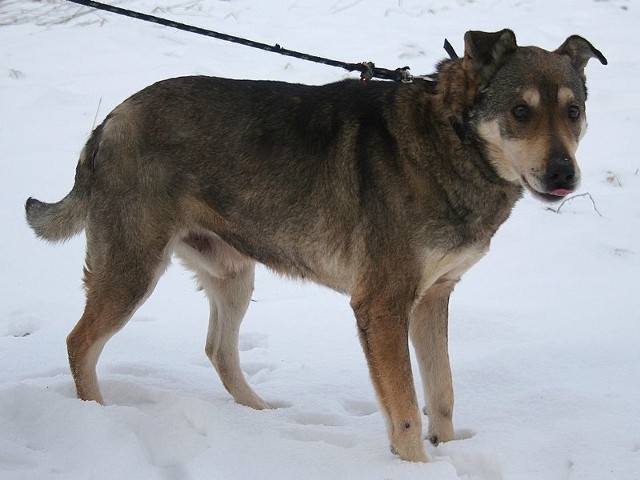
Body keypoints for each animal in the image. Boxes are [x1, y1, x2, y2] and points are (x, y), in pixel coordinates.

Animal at [25, 29, 604, 462]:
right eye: (521, 112)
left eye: (573, 112)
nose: (564, 175)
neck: (450, 139)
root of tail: (108, 123)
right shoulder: (382, 306)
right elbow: (405, 411)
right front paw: (419, 464)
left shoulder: (434, 296)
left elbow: (441, 393)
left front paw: (446, 451)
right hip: (133, 269)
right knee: (80, 343)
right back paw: (97, 421)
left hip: (232, 274)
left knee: (219, 350)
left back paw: (261, 418)